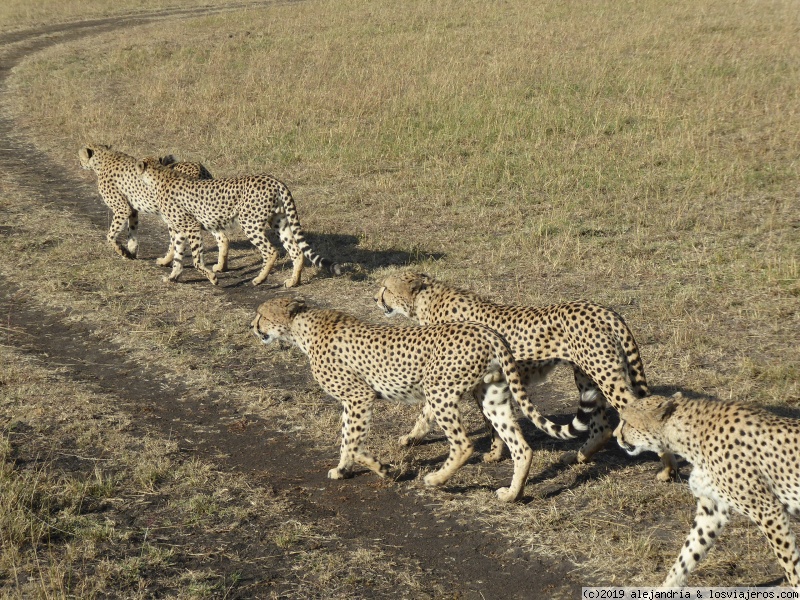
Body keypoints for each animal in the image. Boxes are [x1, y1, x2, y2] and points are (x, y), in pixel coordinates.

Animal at [79, 144, 212, 264]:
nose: (79, 163)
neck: (104, 158)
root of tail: (196, 167)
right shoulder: (132, 209)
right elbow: (132, 231)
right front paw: (131, 252)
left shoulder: (122, 208)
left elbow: (111, 235)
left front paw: (122, 251)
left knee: (175, 240)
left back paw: (164, 261)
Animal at [135, 157, 340, 288]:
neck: (160, 176)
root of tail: (274, 180)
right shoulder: (180, 229)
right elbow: (178, 255)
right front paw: (173, 277)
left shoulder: (190, 226)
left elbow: (195, 259)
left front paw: (212, 278)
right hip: (279, 221)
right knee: (296, 251)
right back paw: (293, 282)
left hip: (250, 223)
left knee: (271, 251)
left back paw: (259, 279)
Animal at [250, 296, 576, 502]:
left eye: (262, 315)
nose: (252, 327)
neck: (302, 329)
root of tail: (485, 330)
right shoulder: (351, 401)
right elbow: (345, 439)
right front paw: (344, 469)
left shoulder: (359, 396)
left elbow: (352, 442)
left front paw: (379, 467)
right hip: (491, 395)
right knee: (521, 447)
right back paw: (512, 495)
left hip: (439, 390)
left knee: (464, 444)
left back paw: (436, 480)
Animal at [376, 272, 676, 478]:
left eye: (386, 288)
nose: (376, 298)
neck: (428, 300)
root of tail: (604, 310)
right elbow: (482, 418)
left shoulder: (453, 379)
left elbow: (438, 412)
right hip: (587, 375)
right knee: (600, 426)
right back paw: (578, 456)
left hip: (605, 373)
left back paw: (666, 470)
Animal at [612, 394, 800, 584]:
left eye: (625, 421)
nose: (615, 435)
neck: (692, 437)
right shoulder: (712, 510)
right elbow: (687, 554)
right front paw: (666, 586)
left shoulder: (768, 510)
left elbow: (789, 562)